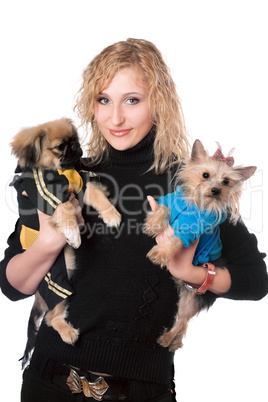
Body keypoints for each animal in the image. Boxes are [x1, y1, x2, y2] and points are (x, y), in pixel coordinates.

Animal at [10, 118, 121, 366]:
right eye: (61, 146)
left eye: (76, 139)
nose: (76, 147)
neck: (61, 172)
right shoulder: (48, 196)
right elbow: (66, 207)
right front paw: (72, 232)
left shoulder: (82, 184)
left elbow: (98, 196)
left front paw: (111, 215)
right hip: (58, 283)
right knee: (50, 319)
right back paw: (68, 332)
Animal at [143, 140, 256, 350]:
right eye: (205, 175)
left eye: (226, 181)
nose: (215, 190)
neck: (196, 203)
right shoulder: (169, 201)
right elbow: (163, 209)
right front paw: (154, 222)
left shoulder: (192, 231)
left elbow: (177, 239)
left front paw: (161, 252)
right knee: (183, 322)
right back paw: (171, 341)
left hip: (192, 299)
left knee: (182, 322)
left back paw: (168, 339)